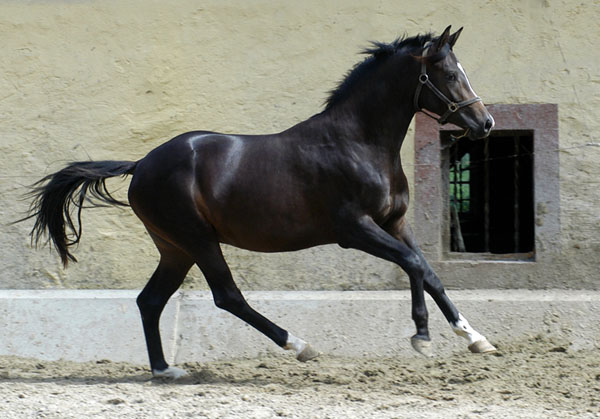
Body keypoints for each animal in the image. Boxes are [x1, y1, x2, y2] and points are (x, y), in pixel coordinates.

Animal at [25, 27, 494, 380]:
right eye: (447, 73)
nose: (484, 123)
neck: (359, 143)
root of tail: (141, 164)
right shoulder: (355, 229)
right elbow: (414, 265)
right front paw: (422, 336)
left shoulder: (395, 223)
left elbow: (428, 271)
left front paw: (475, 338)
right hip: (197, 240)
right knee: (227, 296)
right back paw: (300, 345)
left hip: (175, 248)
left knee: (150, 300)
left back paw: (164, 369)